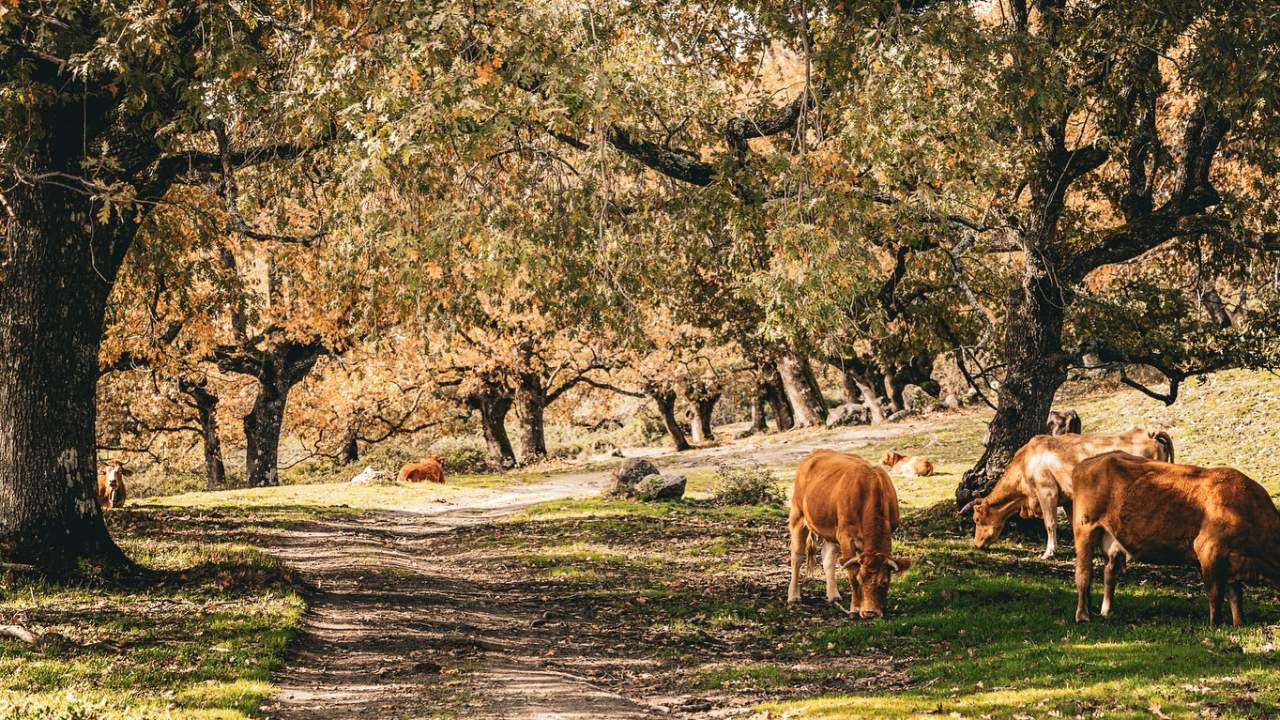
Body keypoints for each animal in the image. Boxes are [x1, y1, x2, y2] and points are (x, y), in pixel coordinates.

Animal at [787, 449, 912, 619]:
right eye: (860, 580)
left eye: (884, 583)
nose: (870, 613)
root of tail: (816, 452)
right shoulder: (846, 538)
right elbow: (851, 572)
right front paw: (854, 608)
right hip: (798, 517)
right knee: (797, 556)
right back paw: (793, 596)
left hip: (831, 530)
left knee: (828, 559)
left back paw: (833, 595)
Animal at [963, 428, 1174, 558]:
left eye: (977, 519)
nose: (977, 544)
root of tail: (1150, 433)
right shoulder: (1067, 499)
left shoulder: (1047, 491)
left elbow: (1050, 523)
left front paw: (1049, 552)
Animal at [1071, 452, 1280, 626]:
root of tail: (1088, 462)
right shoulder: (1209, 551)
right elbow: (1215, 593)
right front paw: (1215, 624)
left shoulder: (1231, 562)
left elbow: (1236, 595)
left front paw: (1239, 624)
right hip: (1085, 530)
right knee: (1084, 573)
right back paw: (1083, 615)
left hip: (1114, 540)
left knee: (1109, 571)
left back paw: (1107, 611)